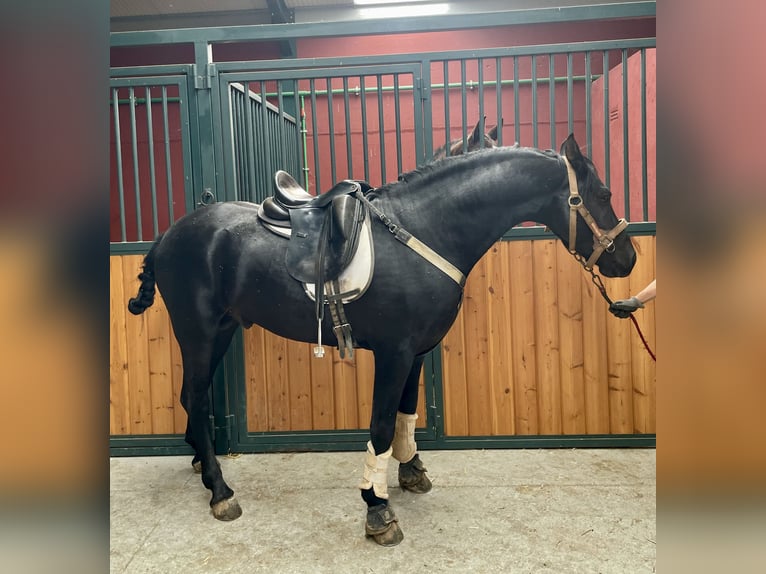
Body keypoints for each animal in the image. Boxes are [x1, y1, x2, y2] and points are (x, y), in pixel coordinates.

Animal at [130, 135, 636, 548]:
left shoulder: (415, 353)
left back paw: (202, 466)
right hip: (197, 332)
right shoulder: (394, 353)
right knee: (196, 397)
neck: (425, 230)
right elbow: (379, 425)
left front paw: (410, 471)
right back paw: (220, 491)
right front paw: (377, 509)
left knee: (190, 398)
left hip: (221, 330)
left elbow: (405, 415)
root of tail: (168, 235)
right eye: (604, 194)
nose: (627, 259)